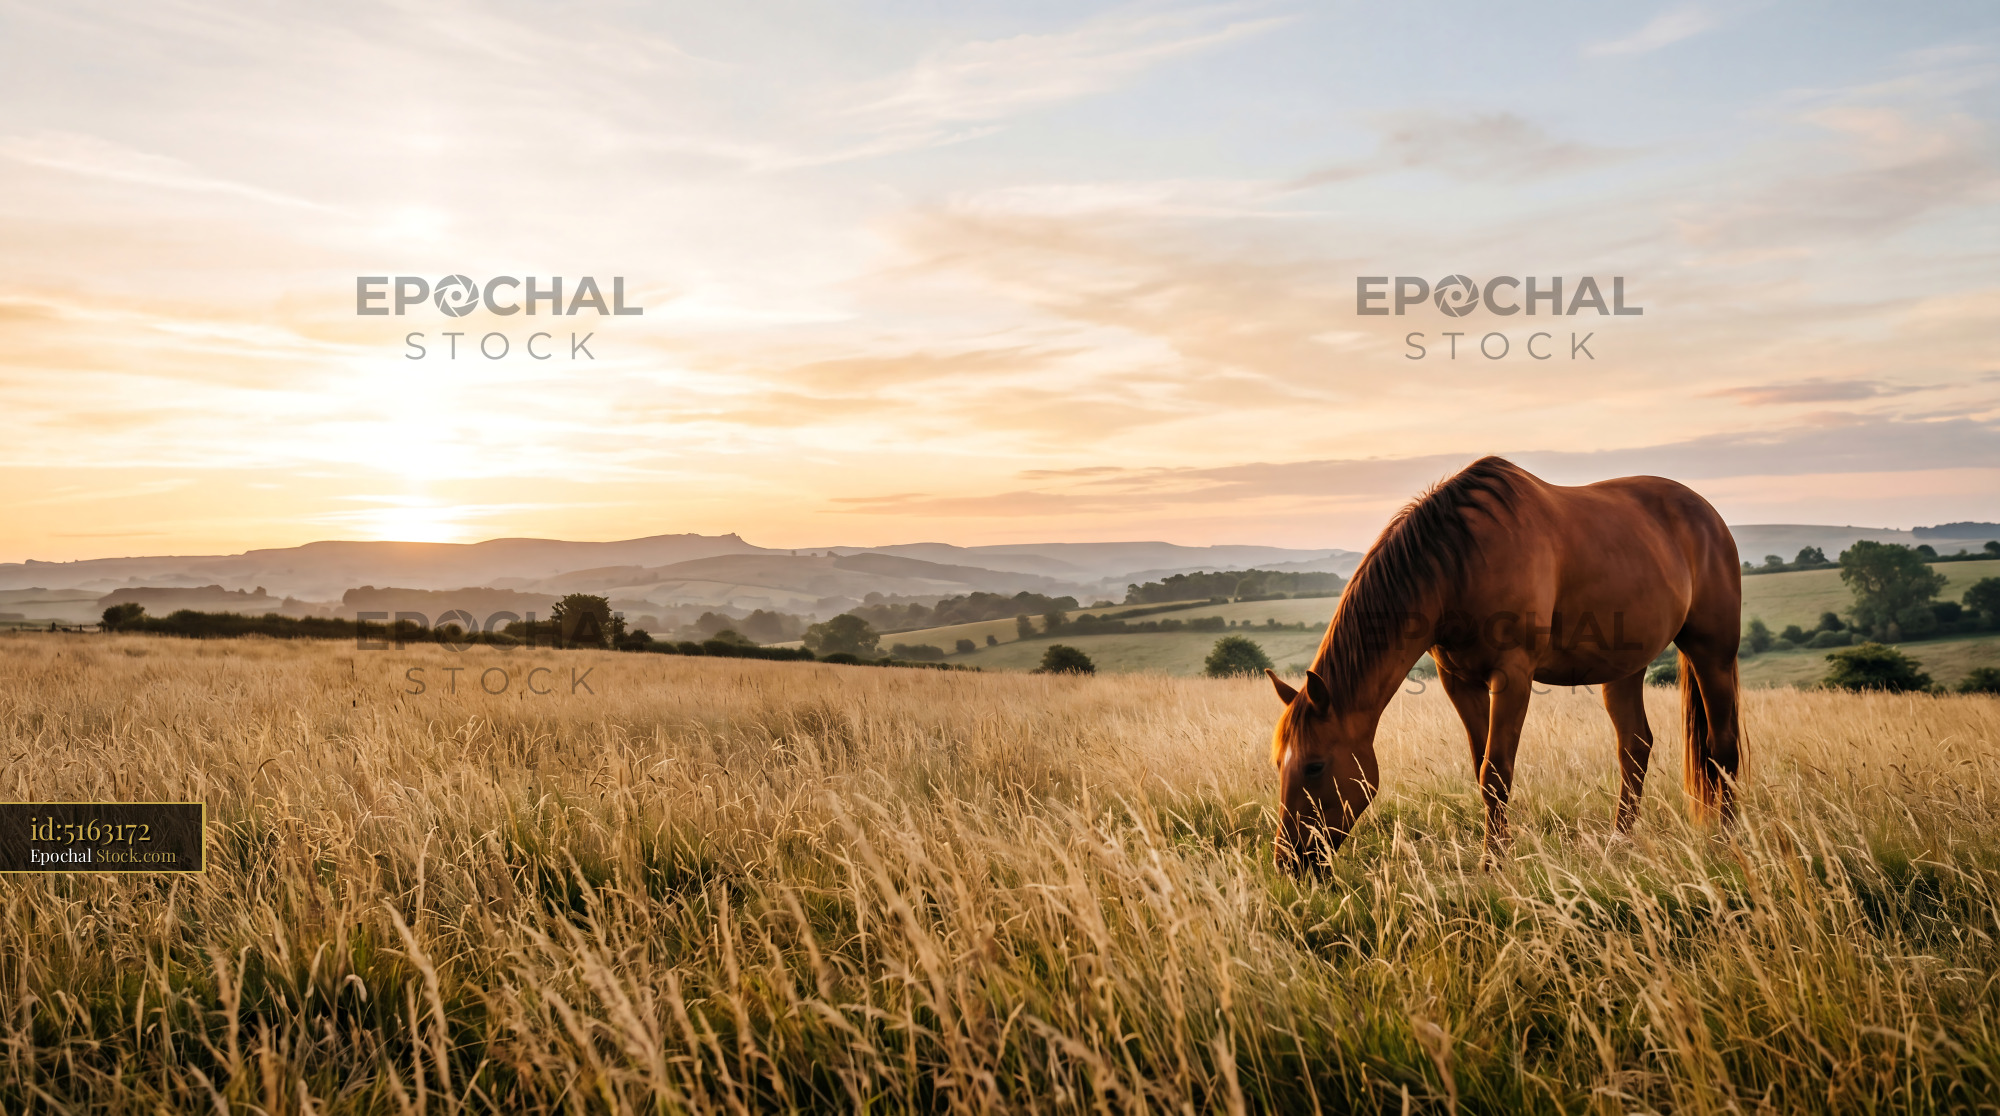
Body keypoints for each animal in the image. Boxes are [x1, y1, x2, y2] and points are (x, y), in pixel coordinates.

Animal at [1265, 456, 1743, 873]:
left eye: (1314, 766)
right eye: (1279, 764)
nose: (1288, 862)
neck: (1459, 564)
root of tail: (1708, 516)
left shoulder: (1513, 675)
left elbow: (1496, 772)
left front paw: (1493, 862)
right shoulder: (1459, 680)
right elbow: (1483, 769)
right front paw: (1500, 852)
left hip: (1712, 652)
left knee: (1722, 746)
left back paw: (1728, 841)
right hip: (1624, 668)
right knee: (1634, 748)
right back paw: (1619, 843)